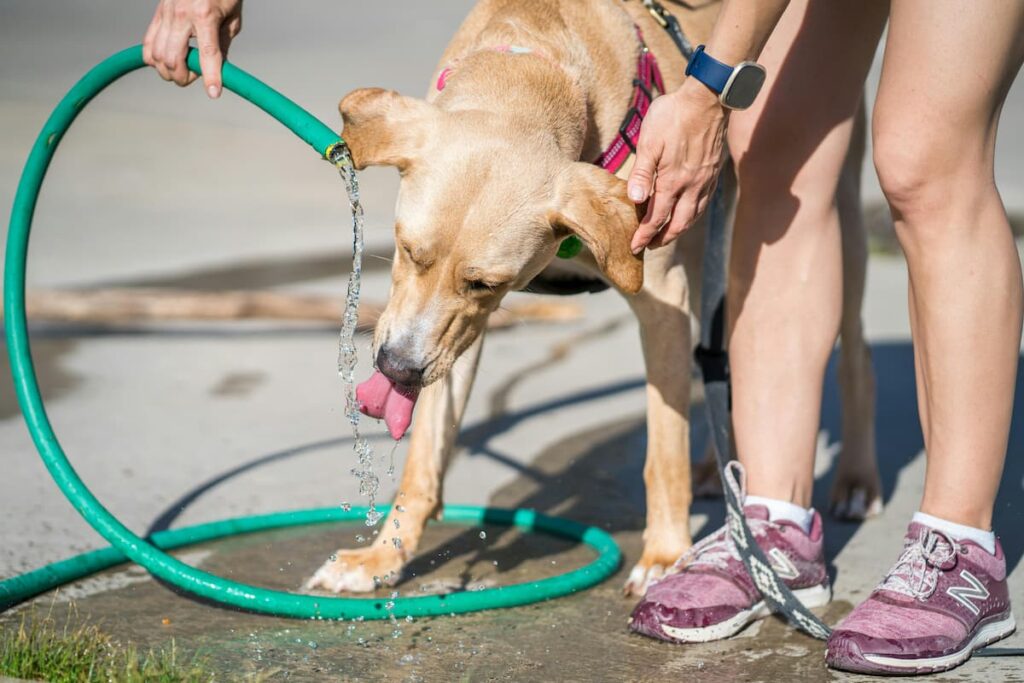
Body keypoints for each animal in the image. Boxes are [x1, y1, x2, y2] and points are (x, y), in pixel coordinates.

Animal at [305, 0, 880, 598]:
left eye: (486, 284)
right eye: (406, 249)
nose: (395, 369)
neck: (535, 63)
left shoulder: (661, 300)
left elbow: (663, 452)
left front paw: (664, 555)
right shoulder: (449, 336)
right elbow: (424, 458)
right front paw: (382, 556)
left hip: (824, 212)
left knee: (852, 351)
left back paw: (856, 479)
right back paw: (715, 471)